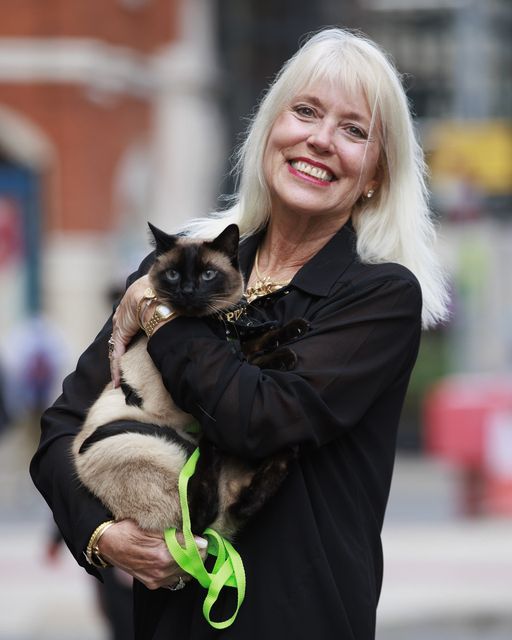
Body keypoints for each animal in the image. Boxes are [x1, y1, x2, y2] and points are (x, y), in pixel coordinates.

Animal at [72, 224, 308, 540]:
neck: (216, 324)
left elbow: (258, 341)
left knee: (241, 498)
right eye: (173, 274)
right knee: (199, 515)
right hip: (147, 443)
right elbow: (251, 358)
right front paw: (285, 355)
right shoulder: (209, 376)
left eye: (207, 274)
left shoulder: (233, 344)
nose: (187, 290)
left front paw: (294, 328)